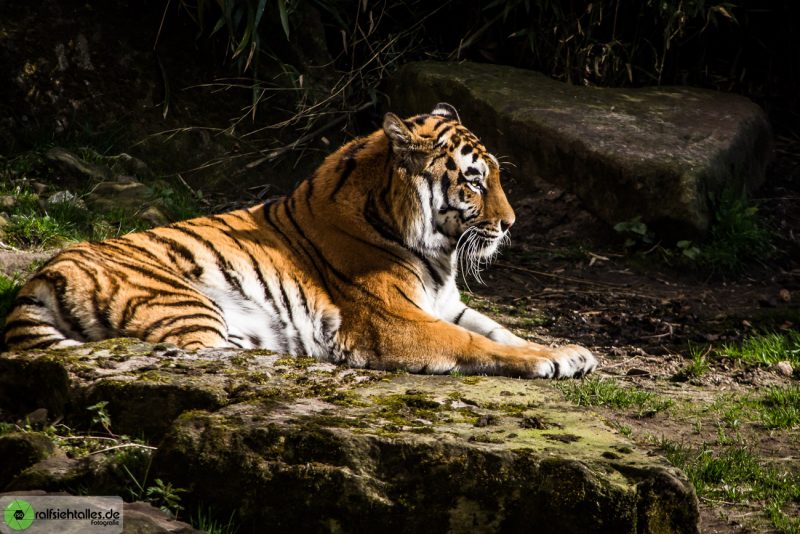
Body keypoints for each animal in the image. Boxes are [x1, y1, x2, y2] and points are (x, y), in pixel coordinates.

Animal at [3, 103, 596, 382]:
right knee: (199, 354)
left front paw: (569, 351)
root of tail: (37, 278)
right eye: (473, 180)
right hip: (181, 300)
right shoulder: (395, 320)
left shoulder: (445, 304)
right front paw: (549, 362)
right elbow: (476, 344)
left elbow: (500, 330)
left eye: (494, 175)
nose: (511, 223)